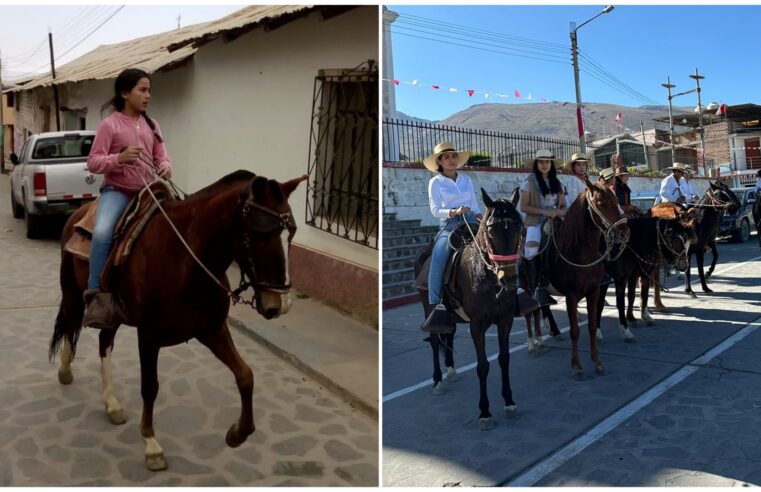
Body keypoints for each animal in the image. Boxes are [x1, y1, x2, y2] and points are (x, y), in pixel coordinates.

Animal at [47, 171, 306, 470]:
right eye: (260, 233)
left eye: (291, 233)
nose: (280, 304)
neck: (185, 260)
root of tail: (79, 212)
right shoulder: (148, 336)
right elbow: (150, 387)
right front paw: (151, 444)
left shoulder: (212, 330)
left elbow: (245, 375)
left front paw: (238, 433)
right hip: (71, 292)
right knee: (71, 324)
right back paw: (66, 370)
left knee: (104, 342)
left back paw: (111, 404)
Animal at [416, 190, 524, 428]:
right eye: (491, 230)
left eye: (519, 227)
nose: (509, 278)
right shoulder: (477, 325)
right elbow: (482, 366)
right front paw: (485, 412)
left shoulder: (506, 320)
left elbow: (504, 359)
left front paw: (510, 401)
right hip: (428, 308)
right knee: (436, 340)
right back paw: (438, 380)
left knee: (449, 334)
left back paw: (451, 370)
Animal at [544, 181, 628, 376]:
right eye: (601, 203)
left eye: (615, 200)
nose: (624, 231)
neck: (580, 253)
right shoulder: (571, 295)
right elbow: (575, 330)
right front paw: (576, 366)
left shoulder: (594, 291)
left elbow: (591, 325)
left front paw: (597, 361)